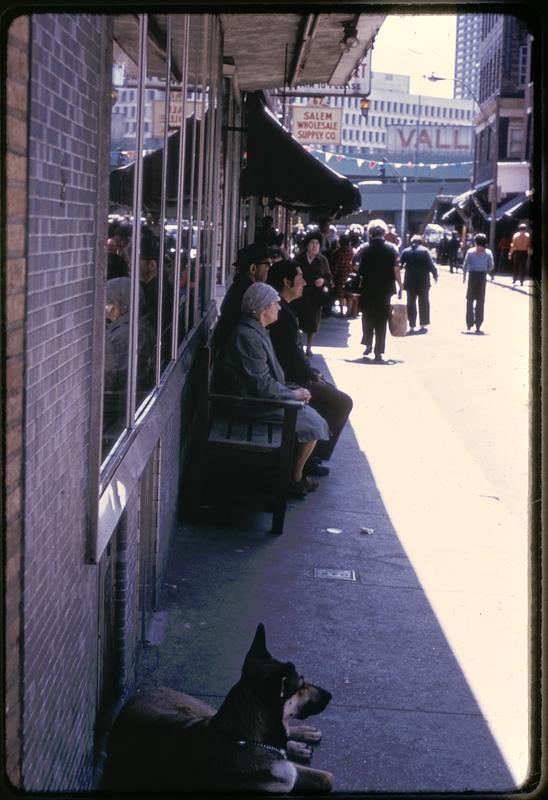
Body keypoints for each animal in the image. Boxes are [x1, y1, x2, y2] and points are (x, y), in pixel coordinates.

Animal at [103, 620, 334, 792]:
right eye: (301, 685)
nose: (331, 695)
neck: (244, 740)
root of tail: (142, 693)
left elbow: (328, 777)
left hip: (202, 712)